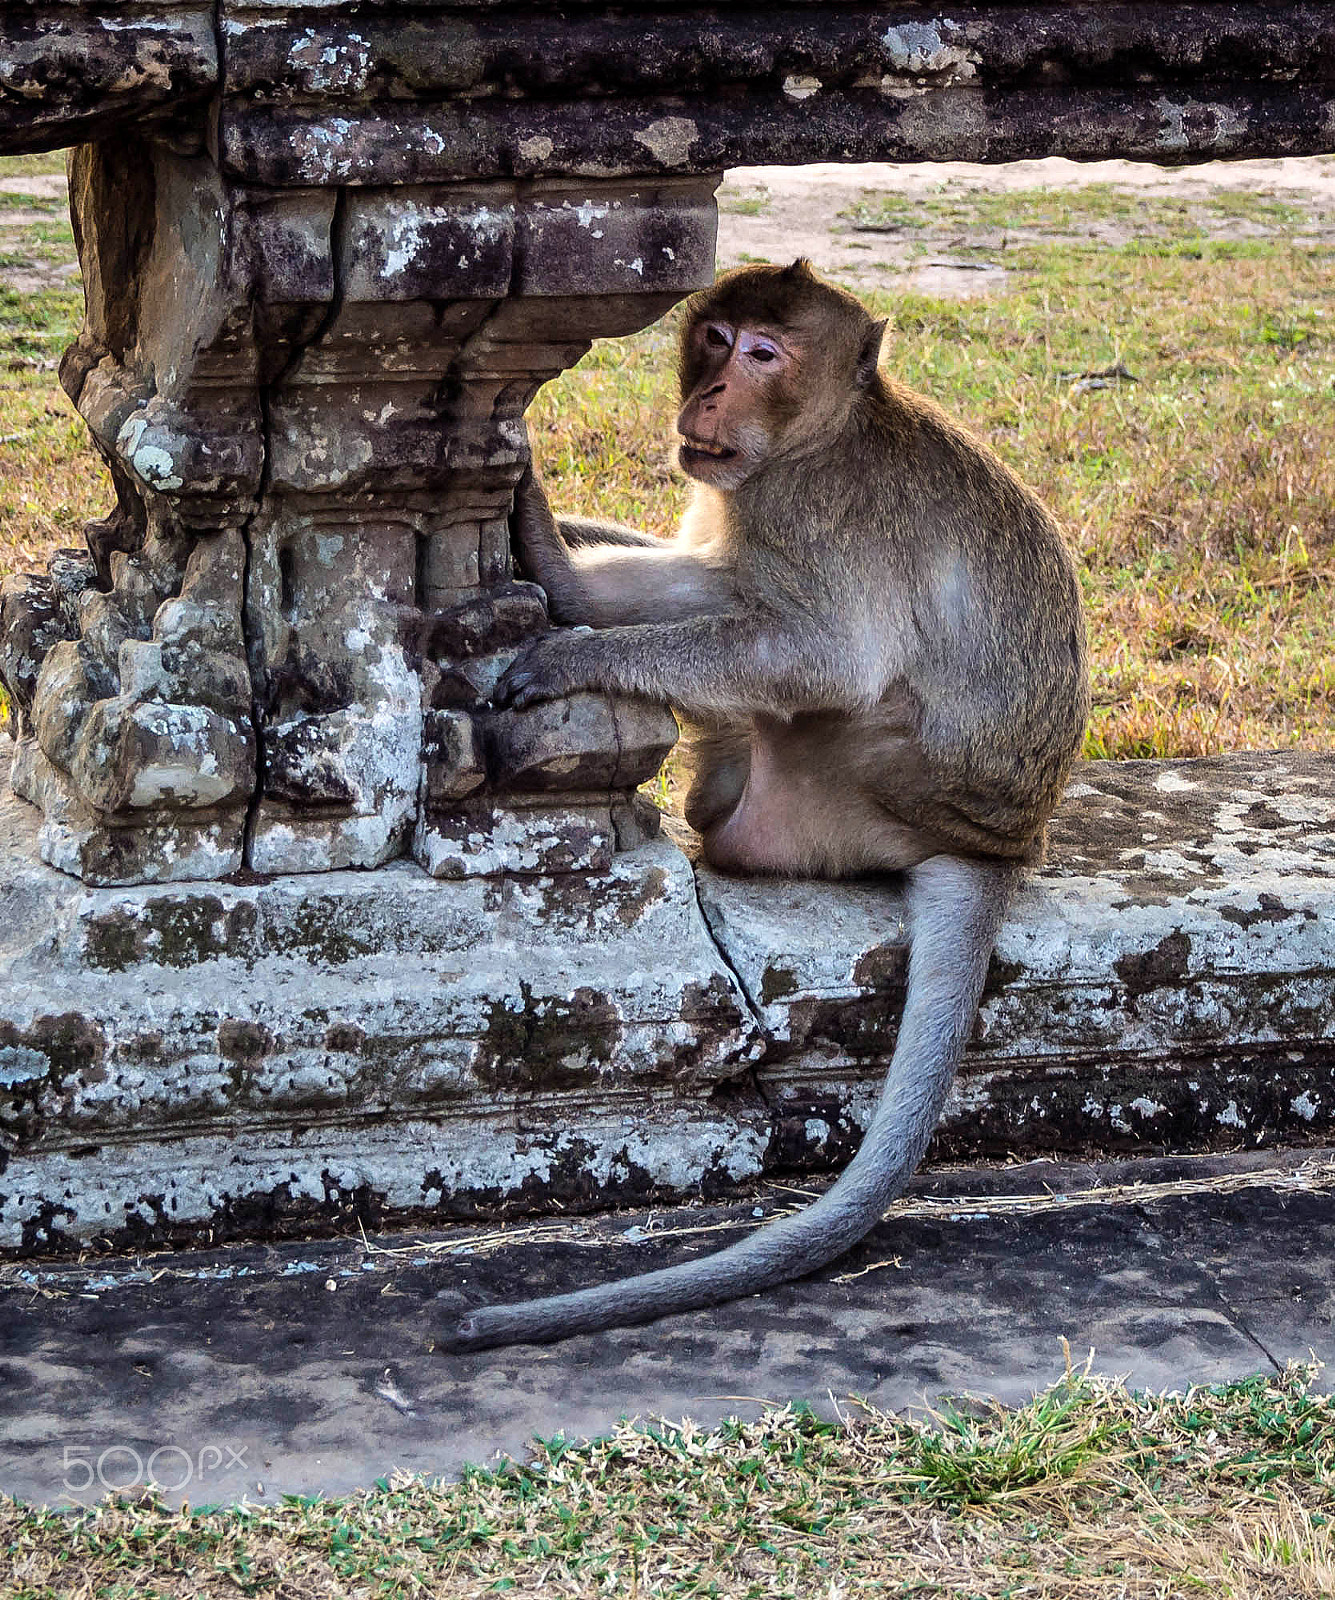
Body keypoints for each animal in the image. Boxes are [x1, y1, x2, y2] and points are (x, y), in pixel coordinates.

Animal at [445, 259, 1089, 1351]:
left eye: (763, 353)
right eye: (714, 337)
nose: (709, 391)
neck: (828, 427)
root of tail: (1005, 842)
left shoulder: (806, 507)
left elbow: (821, 656)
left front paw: (574, 648)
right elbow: (697, 577)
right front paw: (548, 543)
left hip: (833, 789)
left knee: (794, 686)